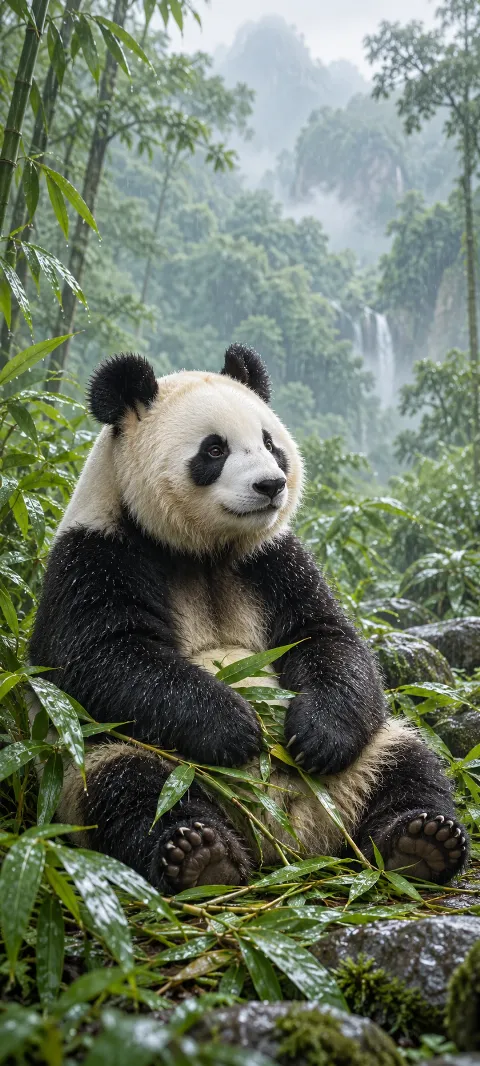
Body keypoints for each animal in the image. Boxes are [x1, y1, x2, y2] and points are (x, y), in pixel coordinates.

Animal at [30, 346, 469, 892]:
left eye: (270, 444)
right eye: (214, 450)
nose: (271, 484)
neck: (204, 551)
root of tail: (288, 837)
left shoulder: (273, 560)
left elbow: (325, 637)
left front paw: (317, 734)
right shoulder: (98, 556)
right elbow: (104, 656)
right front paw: (237, 727)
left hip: (363, 763)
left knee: (410, 762)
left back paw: (422, 841)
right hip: (110, 763)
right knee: (128, 787)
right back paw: (199, 854)